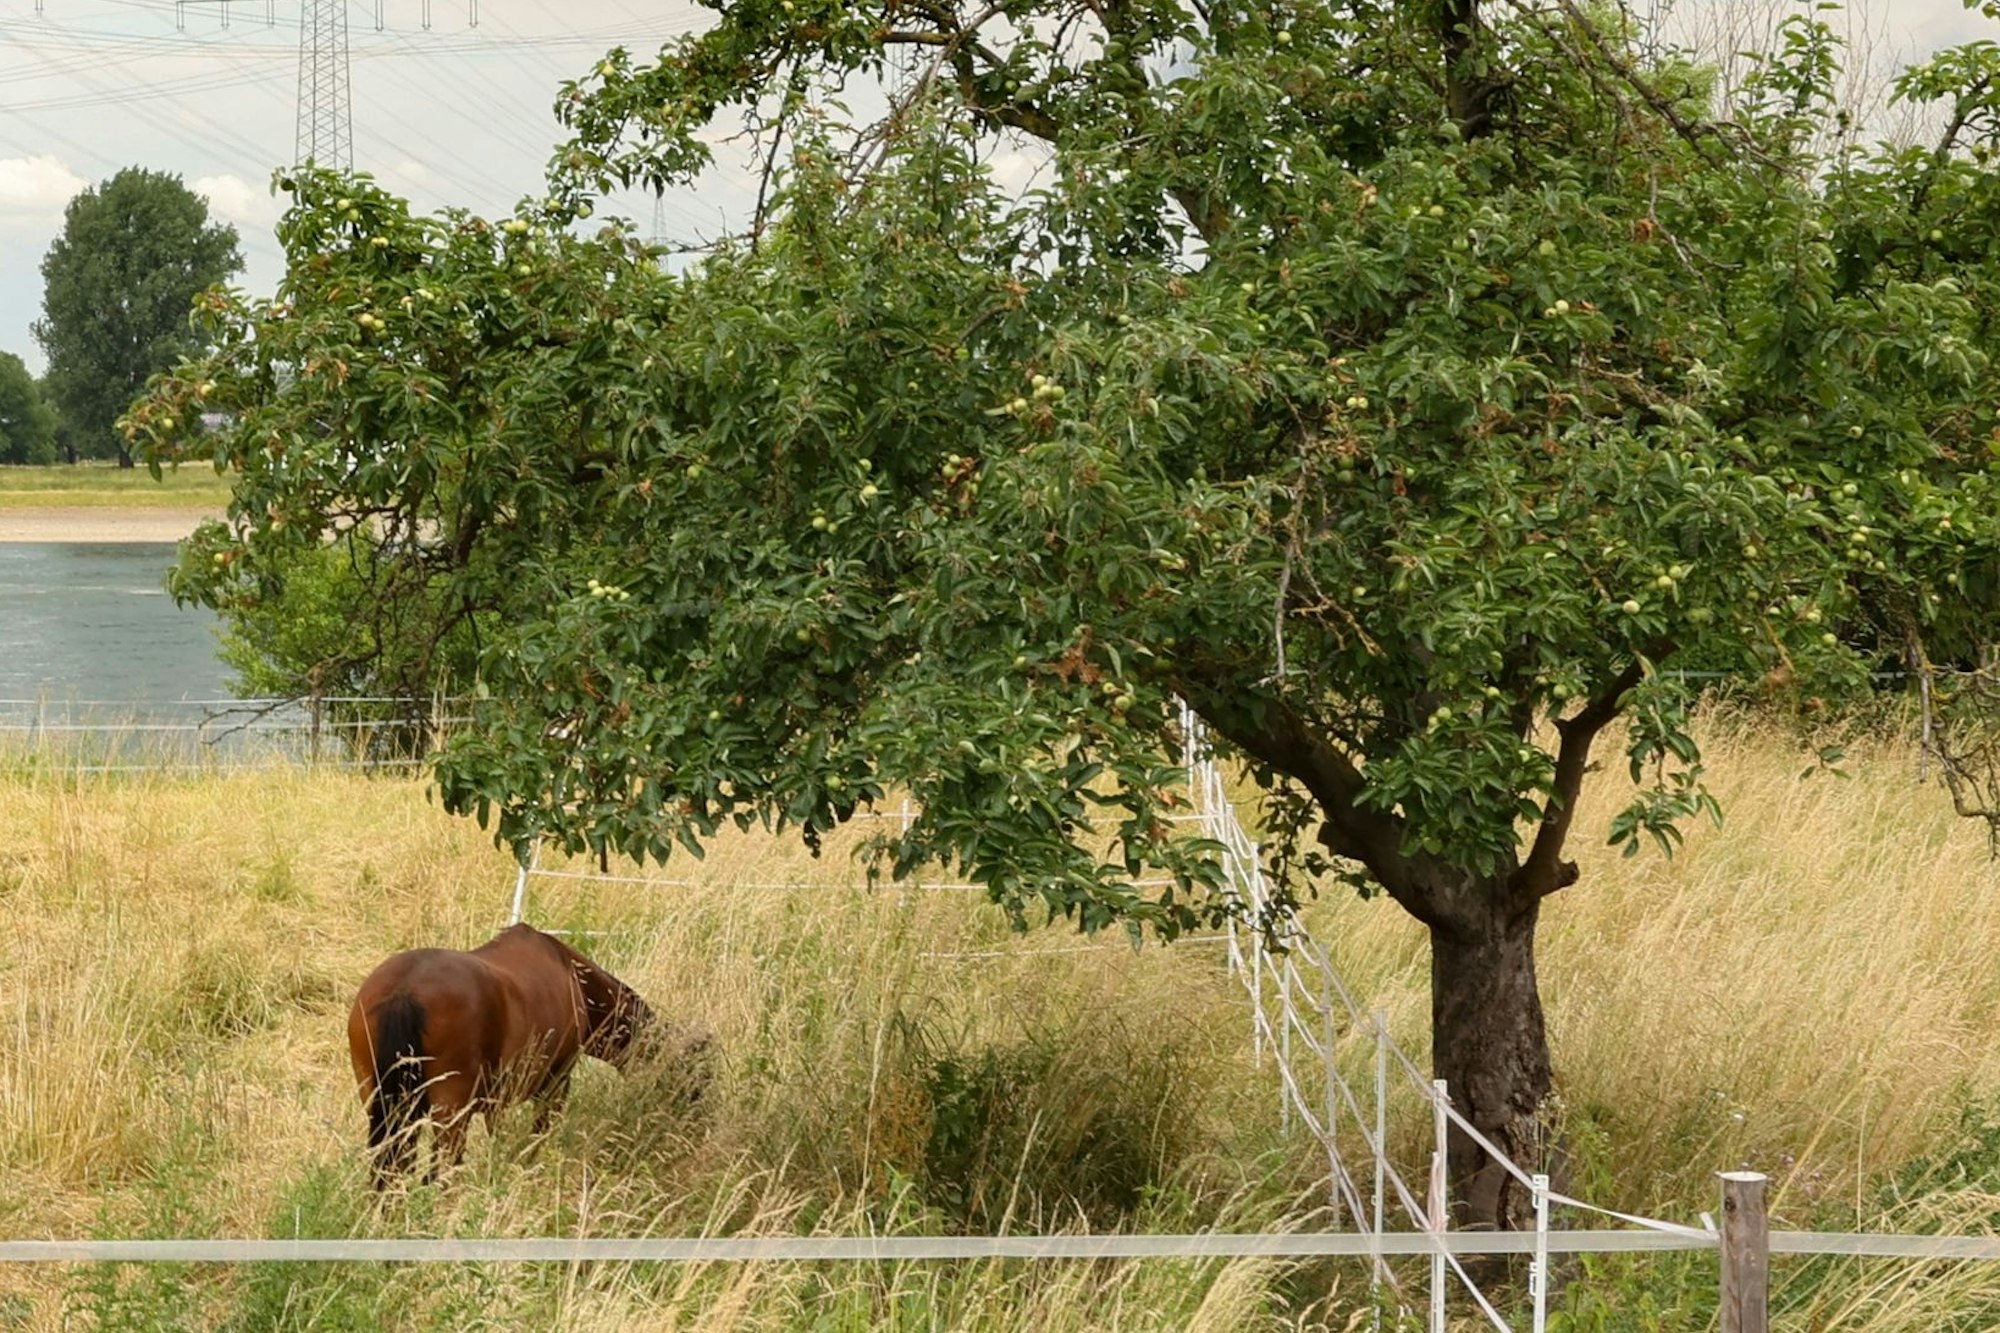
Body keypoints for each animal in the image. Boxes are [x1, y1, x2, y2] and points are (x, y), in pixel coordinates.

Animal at [346, 923, 660, 1187]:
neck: (575, 980)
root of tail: (404, 992)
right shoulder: (554, 1086)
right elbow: (535, 1137)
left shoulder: (495, 1103)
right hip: (448, 1114)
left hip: (390, 1108)